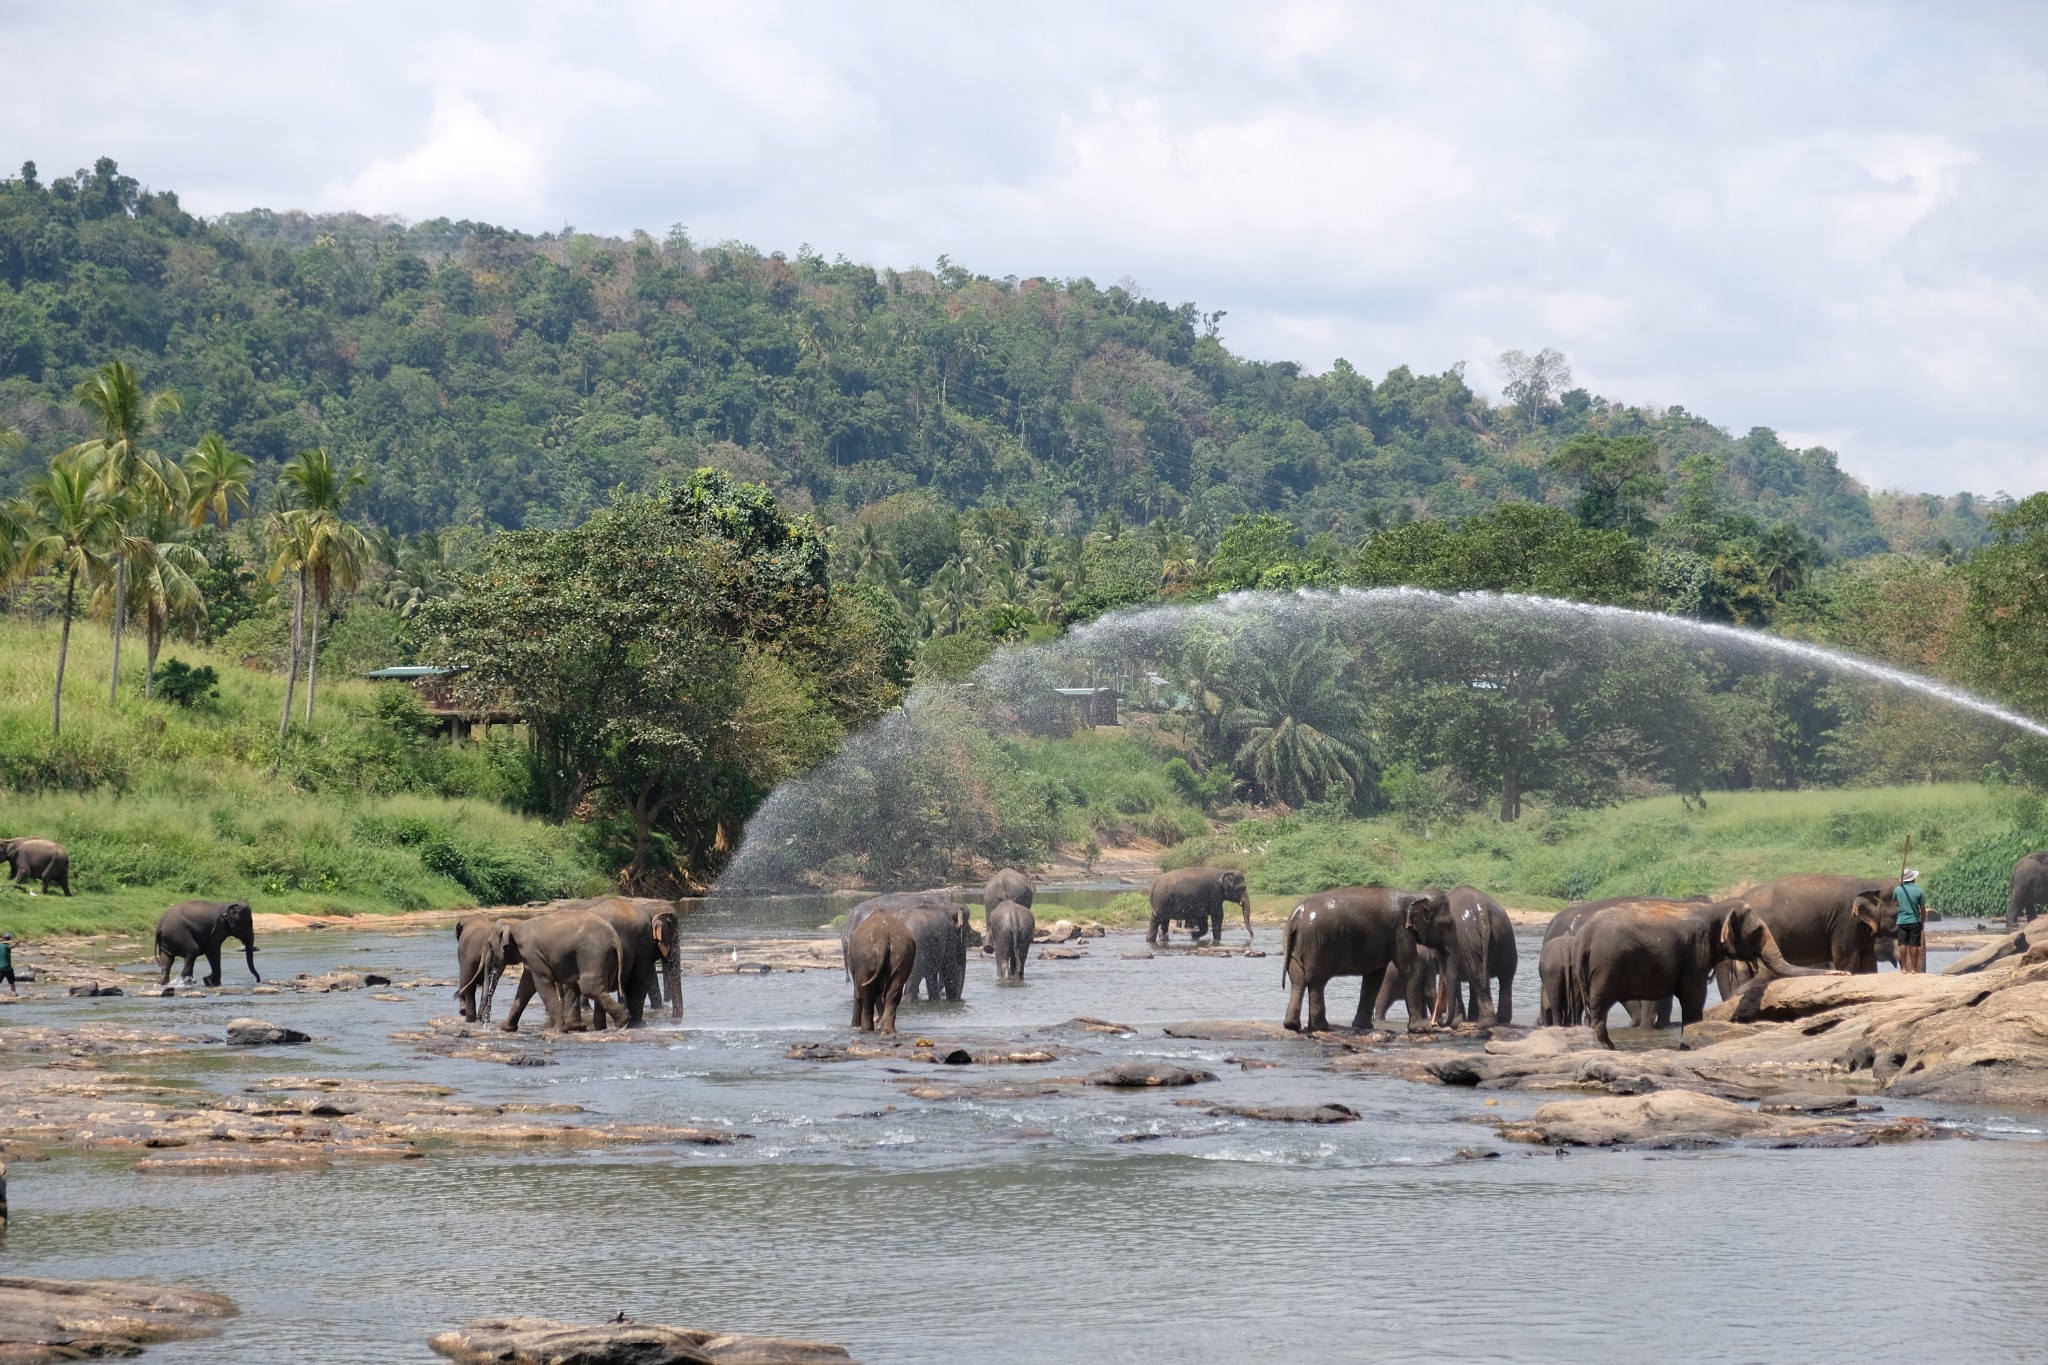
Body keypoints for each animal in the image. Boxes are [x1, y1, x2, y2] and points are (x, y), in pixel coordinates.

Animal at [1277, 892, 1441, 1031]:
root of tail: (1297, 915)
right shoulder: (1402, 933)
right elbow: (1416, 975)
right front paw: (1424, 1027)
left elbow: (1374, 975)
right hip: (1318, 943)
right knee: (1316, 981)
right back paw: (1321, 1027)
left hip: (1297, 944)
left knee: (1298, 979)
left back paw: (1292, 1025)